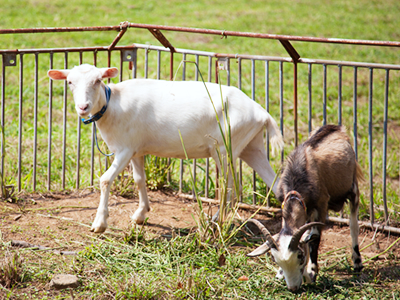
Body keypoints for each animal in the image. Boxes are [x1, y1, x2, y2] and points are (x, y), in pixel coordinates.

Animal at [47, 63, 284, 232]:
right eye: (69, 82)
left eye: (98, 80)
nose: (83, 107)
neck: (112, 106)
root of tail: (262, 113)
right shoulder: (136, 149)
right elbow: (139, 179)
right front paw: (141, 214)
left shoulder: (124, 149)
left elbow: (105, 179)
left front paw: (99, 224)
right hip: (251, 146)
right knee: (275, 184)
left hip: (226, 149)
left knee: (231, 189)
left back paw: (215, 221)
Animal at [247, 124, 362, 290]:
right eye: (275, 260)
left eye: (300, 256)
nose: (293, 288)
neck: (298, 176)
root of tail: (336, 128)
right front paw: (280, 273)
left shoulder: (321, 204)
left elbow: (315, 237)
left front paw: (312, 272)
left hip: (353, 188)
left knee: (353, 225)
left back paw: (357, 262)